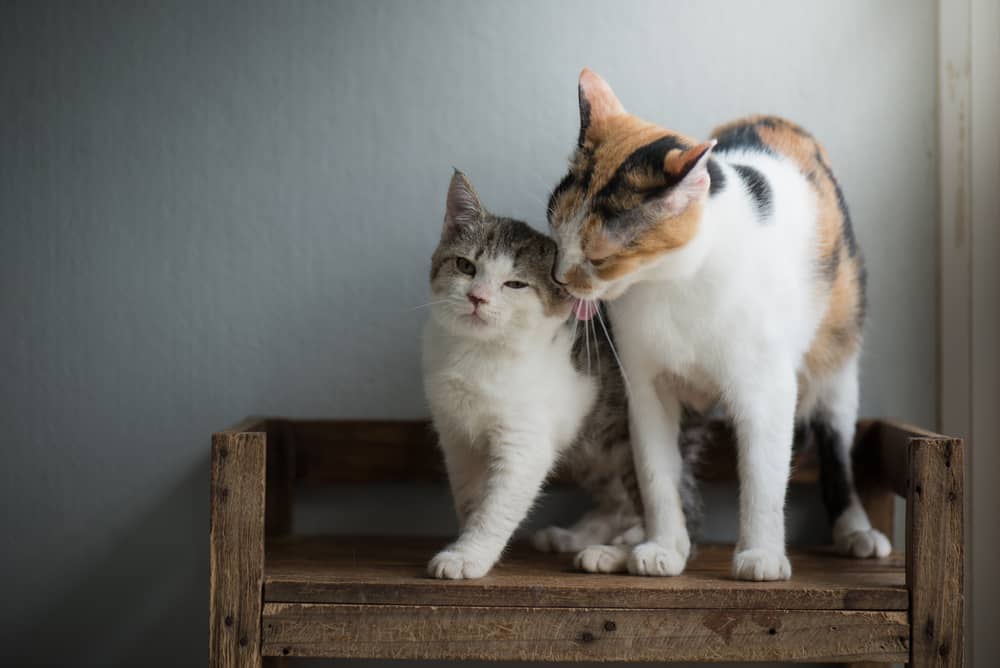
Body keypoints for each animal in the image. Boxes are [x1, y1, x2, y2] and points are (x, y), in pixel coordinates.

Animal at [426, 171, 700, 580]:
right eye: (465, 266)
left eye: (515, 284)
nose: (477, 297)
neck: (480, 352)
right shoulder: (457, 438)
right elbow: (471, 496)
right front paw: (465, 538)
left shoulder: (525, 440)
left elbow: (498, 503)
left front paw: (467, 555)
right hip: (593, 449)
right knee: (617, 498)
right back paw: (577, 537)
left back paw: (620, 552)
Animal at [548, 69, 892, 580]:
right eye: (554, 232)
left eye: (599, 257)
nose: (558, 278)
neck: (672, 282)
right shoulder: (645, 391)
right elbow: (657, 477)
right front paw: (663, 548)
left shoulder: (767, 389)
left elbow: (762, 478)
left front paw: (762, 555)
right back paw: (616, 546)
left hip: (837, 356)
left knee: (836, 442)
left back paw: (855, 530)